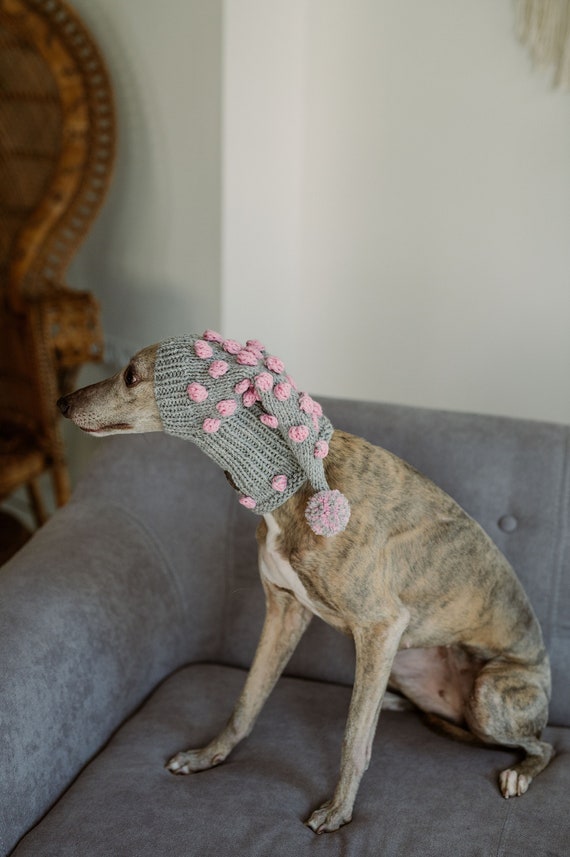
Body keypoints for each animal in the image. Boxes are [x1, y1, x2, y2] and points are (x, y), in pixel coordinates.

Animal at [58, 342, 553, 834]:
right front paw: (208, 756)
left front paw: (338, 811)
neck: (298, 479)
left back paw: (518, 773)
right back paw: (394, 704)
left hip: (487, 694)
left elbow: (354, 737)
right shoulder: (284, 610)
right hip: (403, 660)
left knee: (543, 746)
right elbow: (248, 699)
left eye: (131, 375)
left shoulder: (380, 626)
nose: (62, 402)